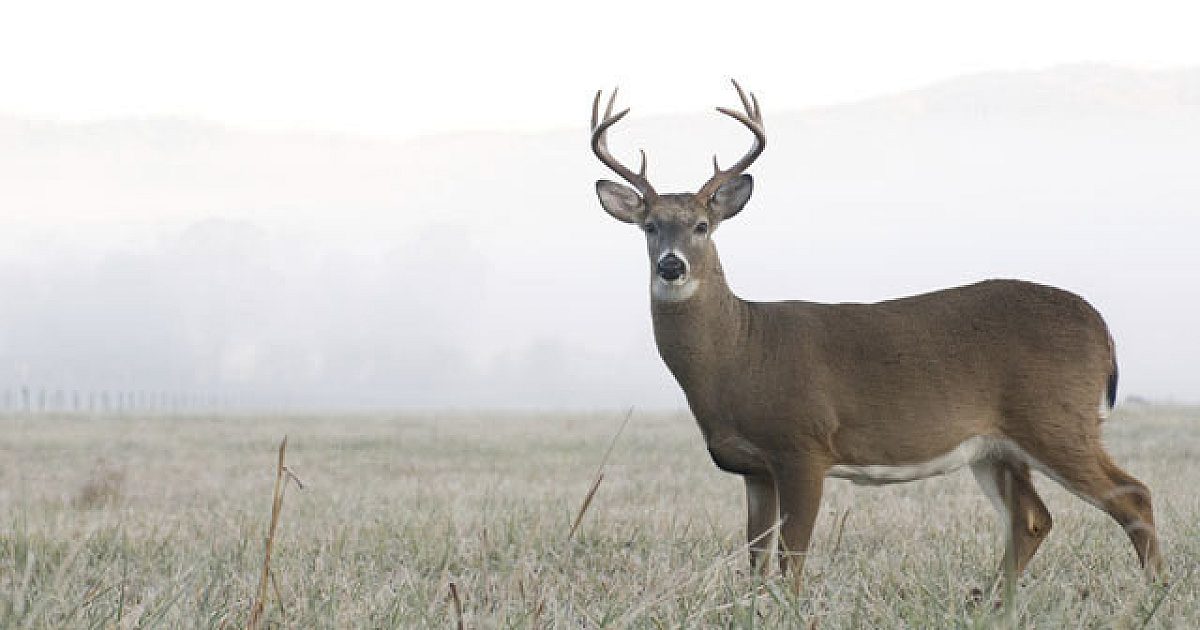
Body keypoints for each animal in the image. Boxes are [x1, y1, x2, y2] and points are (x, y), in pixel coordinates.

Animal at [589, 80, 1166, 591]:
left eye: (702, 226)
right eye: (649, 227)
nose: (671, 265)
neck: (739, 351)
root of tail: (1101, 327)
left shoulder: (803, 445)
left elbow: (792, 559)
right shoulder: (753, 467)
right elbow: (756, 559)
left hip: (1056, 418)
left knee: (1133, 494)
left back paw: (1153, 592)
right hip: (996, 446)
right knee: (1033, 518)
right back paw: (993, 602)